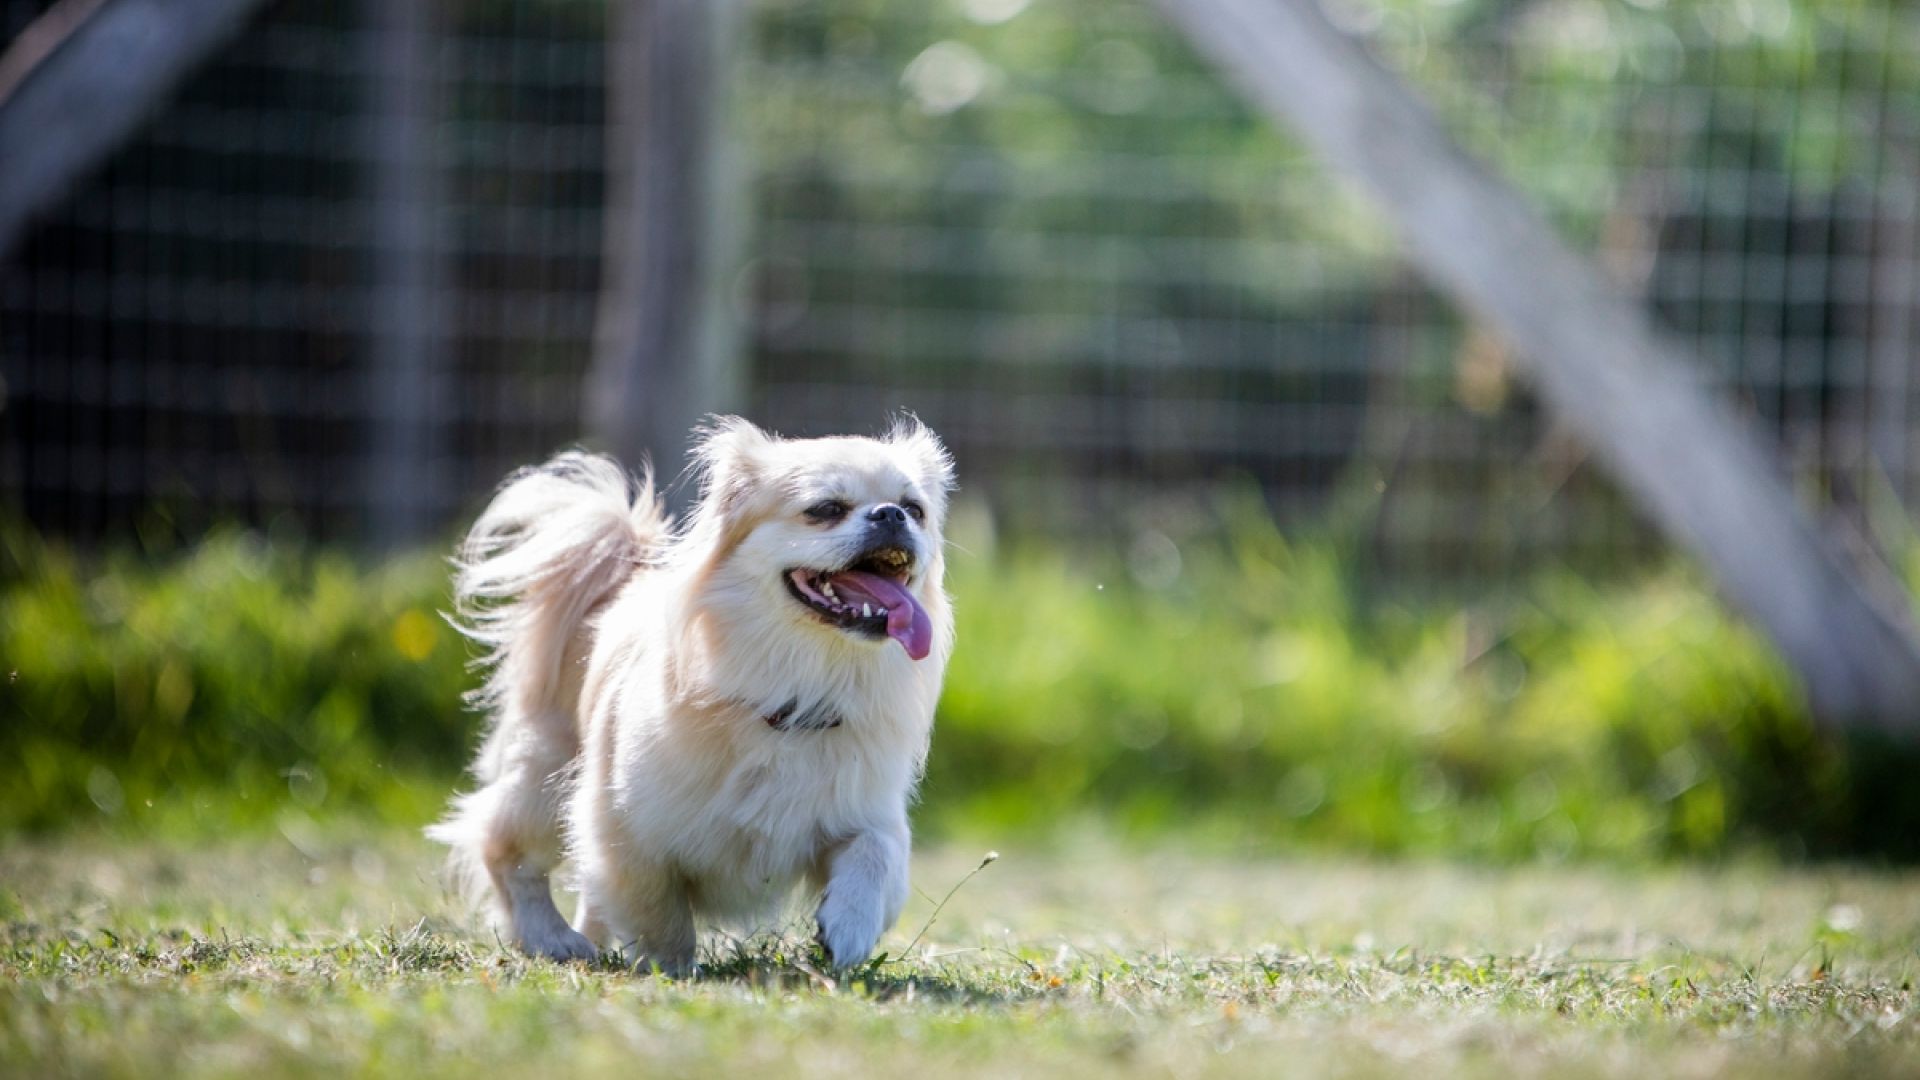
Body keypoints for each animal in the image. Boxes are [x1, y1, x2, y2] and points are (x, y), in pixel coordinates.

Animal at [428, 411, 952, 968]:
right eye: (826, 509)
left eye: (916, 510)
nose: (891, 514)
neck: (798, 692)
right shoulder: (627, 831)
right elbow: (659, 913)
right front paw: (671, 968)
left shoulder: (871, 814)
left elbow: (876, 854)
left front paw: (849, 928)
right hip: (544, 783)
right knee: (505, 851)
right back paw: (554, 938)